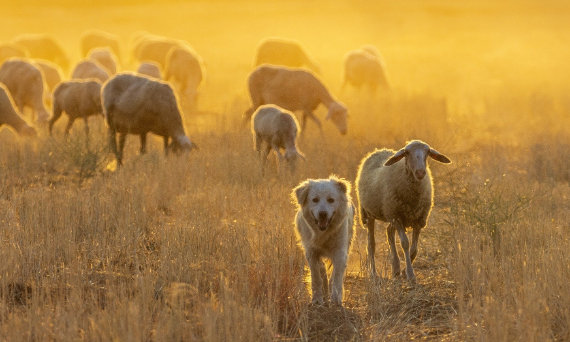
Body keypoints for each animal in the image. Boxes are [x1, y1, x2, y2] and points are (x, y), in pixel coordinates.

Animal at [290, 176, 352, 304]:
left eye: (331, 200)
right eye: (315, 200)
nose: (322, 214)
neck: (323, 232)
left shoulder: (340, 252)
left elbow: (337, 276)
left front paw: (336, 299)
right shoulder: (311, 252)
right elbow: (316, 276)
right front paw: (317, 299)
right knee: (322, 270)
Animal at [352, 139, 450, 280]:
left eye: (427, 152)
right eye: (407, 152)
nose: (420, 173)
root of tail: (379, 150)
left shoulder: (419, 220)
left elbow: (414, 249)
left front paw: (404, 272)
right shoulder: (397, 218)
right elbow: (405, 244)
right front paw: (410, 274)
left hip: (390, 214)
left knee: (389, 232)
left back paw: (396, 268)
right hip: (370, 213)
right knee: (371, 245)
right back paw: (373, 273)